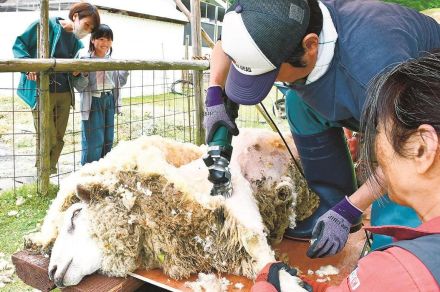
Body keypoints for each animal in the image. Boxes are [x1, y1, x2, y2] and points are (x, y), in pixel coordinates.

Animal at [24, 128, 318, 290]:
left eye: (75, 215)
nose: (51, 272)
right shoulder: (223, 246)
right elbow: (256, 259)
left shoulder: (230, 191)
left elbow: (257, 244)